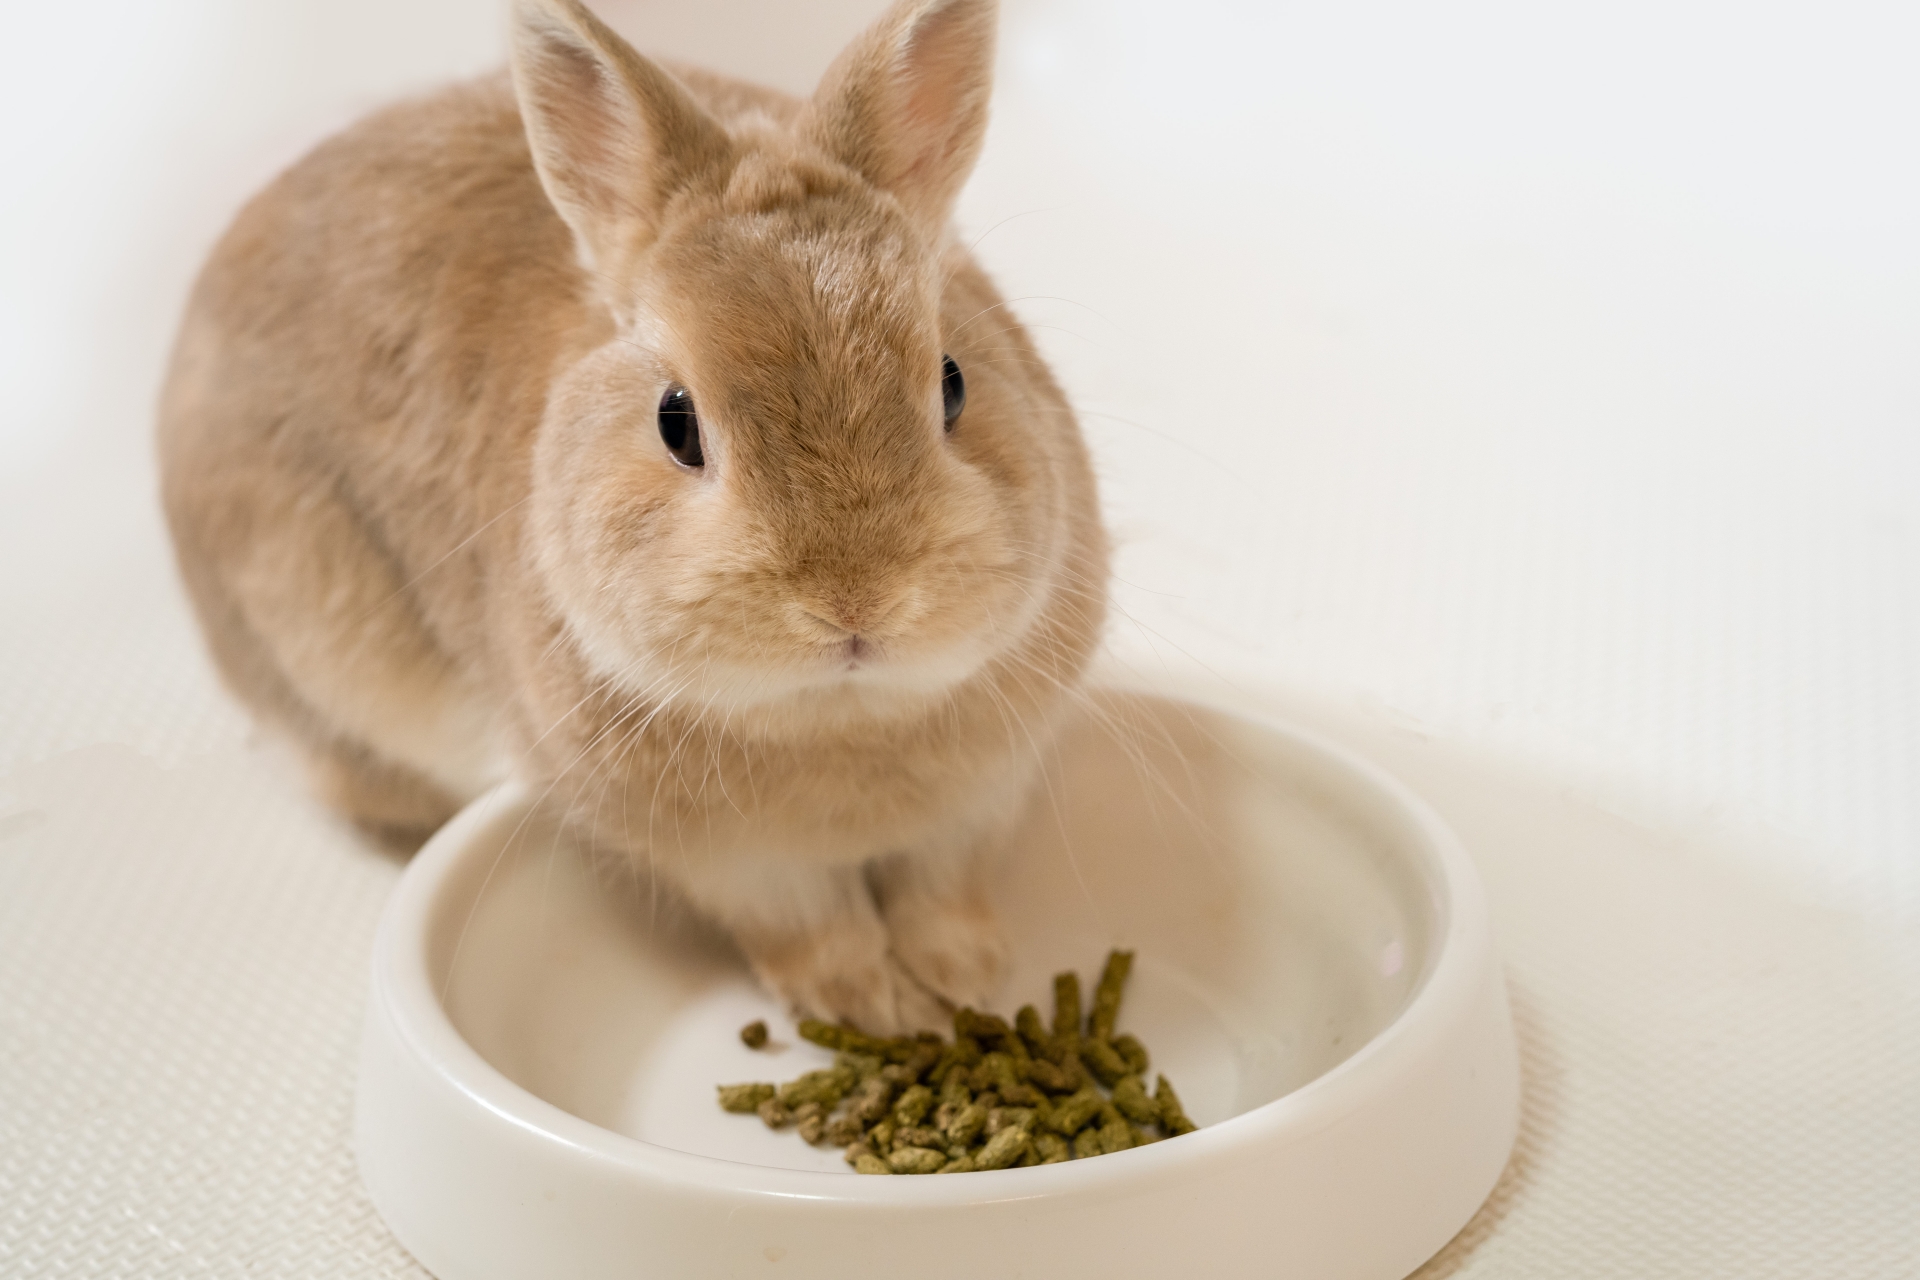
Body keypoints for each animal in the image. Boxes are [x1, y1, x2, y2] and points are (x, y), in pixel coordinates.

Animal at [161, 0, 1113, 1028]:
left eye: (953, 384)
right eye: (676, 422)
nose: (856, 603)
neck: (838, 716)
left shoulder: (977, 807)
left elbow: (940, 890)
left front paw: (964, 980)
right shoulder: (733, 864)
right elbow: (808, 923)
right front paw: (872, 1005)